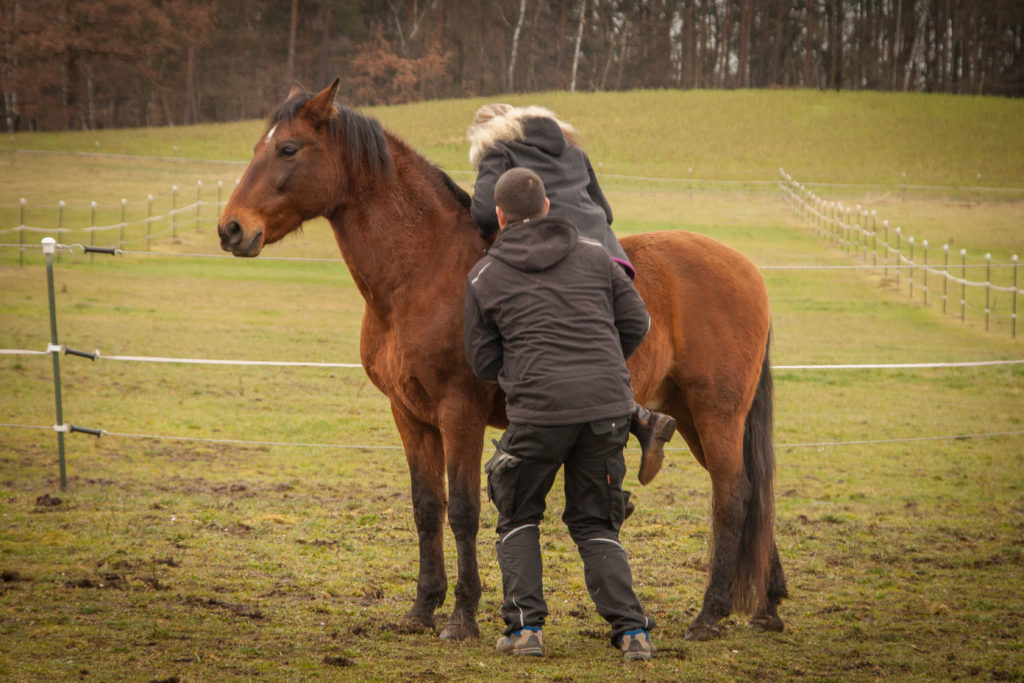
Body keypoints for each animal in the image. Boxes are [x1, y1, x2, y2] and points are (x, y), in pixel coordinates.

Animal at [220, 82, 786, 643]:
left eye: (288, 149)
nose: (231, 229)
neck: (423, 273)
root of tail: (749, 270)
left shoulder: (459, 414)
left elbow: (464, 511)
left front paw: (462, 617)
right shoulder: (410, 416)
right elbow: (427, 509)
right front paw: (422, 608)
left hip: (716, 413)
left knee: (733, 497)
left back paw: (710, 614)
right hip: (690, 416)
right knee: (752, 495)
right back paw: (768, 604)